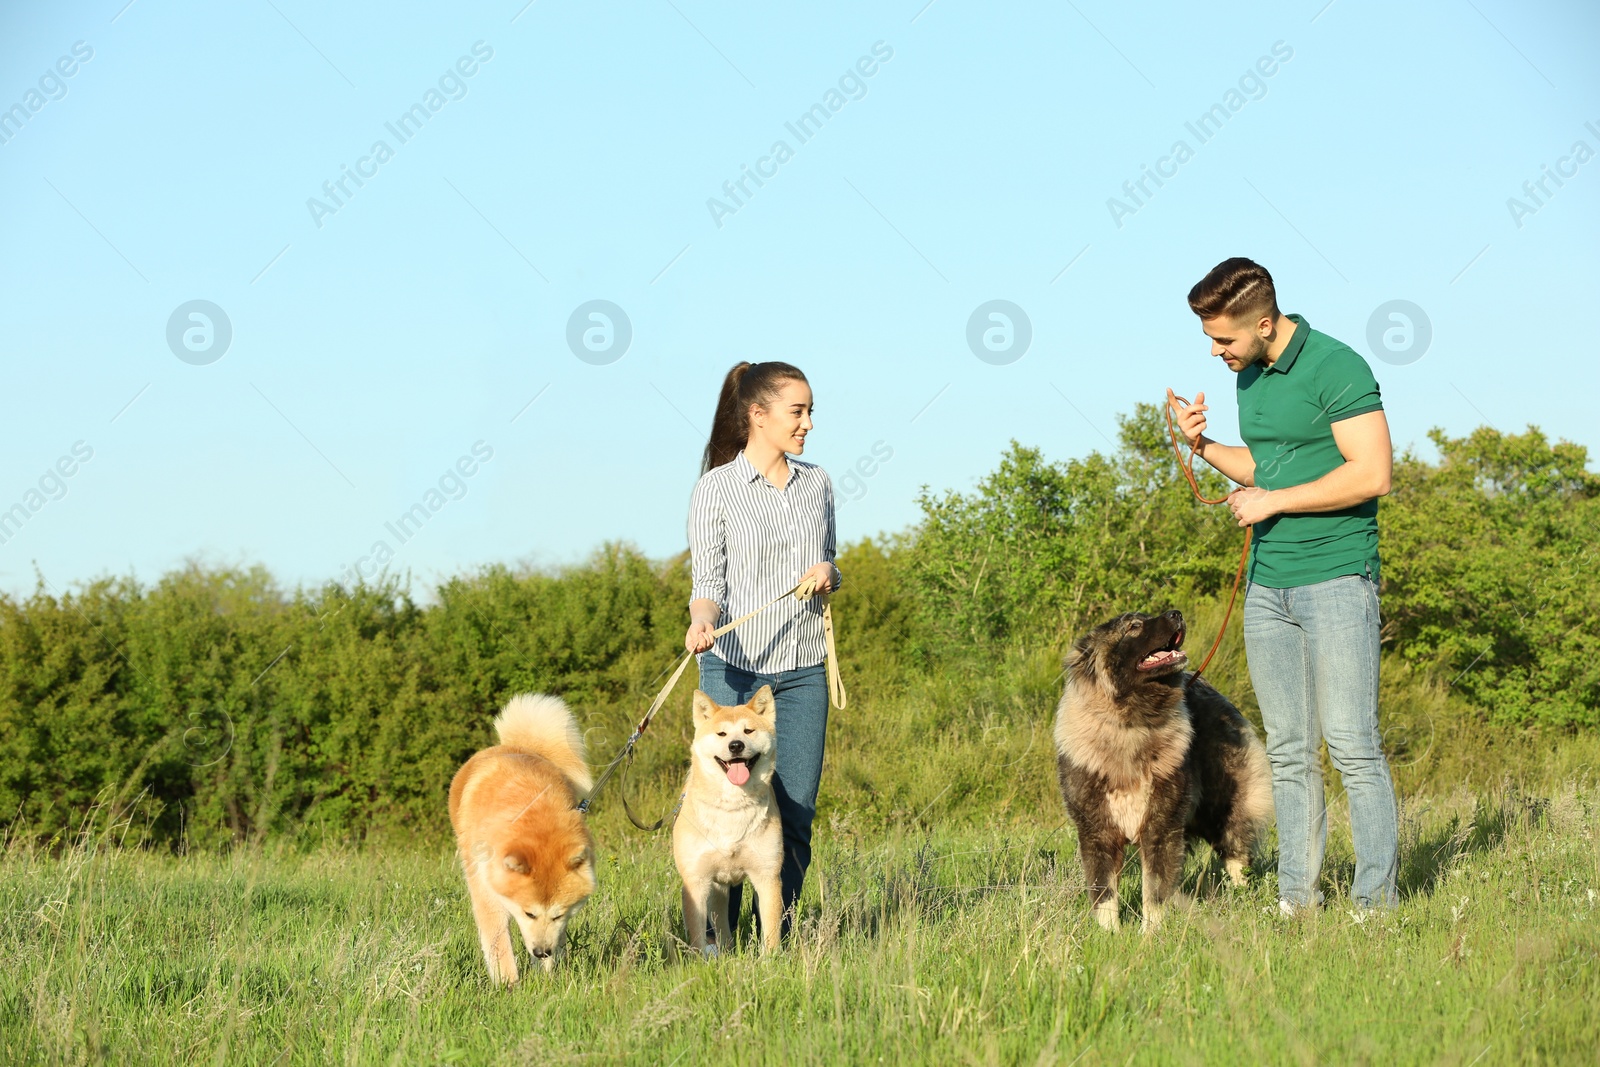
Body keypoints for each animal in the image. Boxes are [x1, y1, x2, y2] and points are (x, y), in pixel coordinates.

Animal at [668, 687, 780, 953]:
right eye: (722, 733)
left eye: (748, 730)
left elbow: (771, 931)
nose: (736, 745)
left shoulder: (768, 876)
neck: (732, 807)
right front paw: (700, 959)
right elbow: (697, 935)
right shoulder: (696, 880)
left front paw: (772, 959)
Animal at [1056, 614, 1267, 927]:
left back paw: (1243, 897)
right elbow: (1105, 892)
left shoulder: (1160, 827)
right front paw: (1109, 933)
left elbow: (1154, 891)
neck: (1131, 725)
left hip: (1223, 811)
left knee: (1236, 855)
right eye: (1133, 626)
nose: (1176, 613)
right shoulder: (1098, 833)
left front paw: (1150, 933)